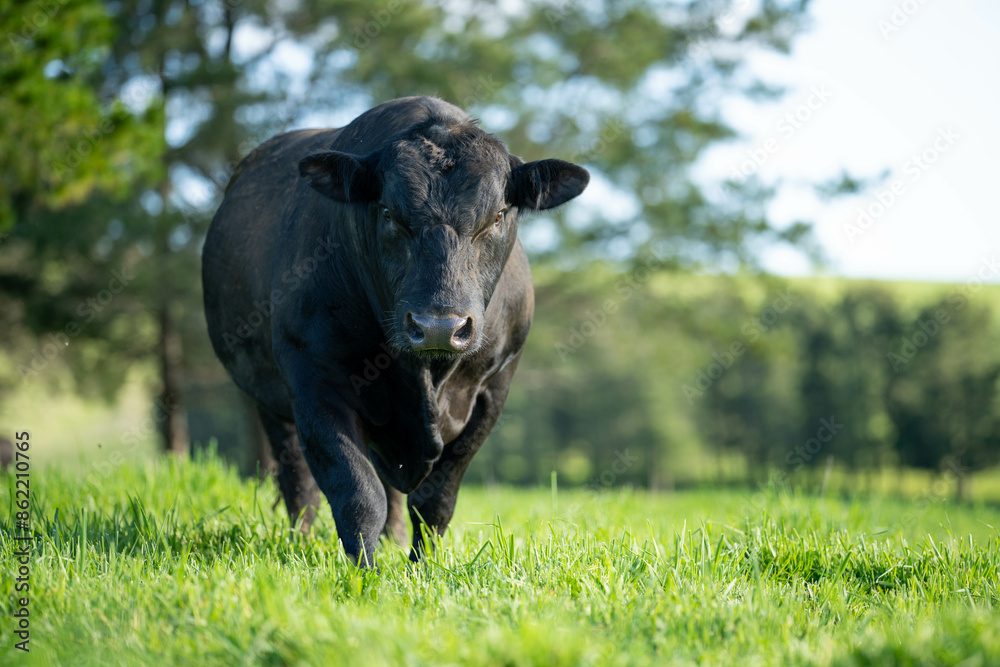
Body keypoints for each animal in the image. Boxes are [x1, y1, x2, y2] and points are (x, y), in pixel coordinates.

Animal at [202, 96, 589, 566]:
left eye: (497, 216)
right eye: (388, 213)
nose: (440, 327)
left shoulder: (494, 386)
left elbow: (435, 499)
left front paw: (423, 567)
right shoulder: (314, 377)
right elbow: (357, 491)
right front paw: (364, 571)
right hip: (268, 399)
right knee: (298, 482)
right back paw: (303, 542)